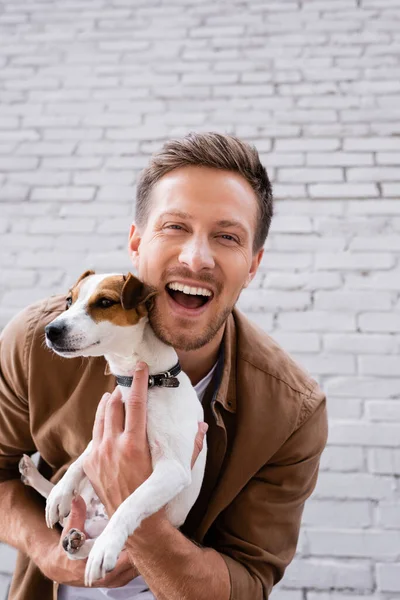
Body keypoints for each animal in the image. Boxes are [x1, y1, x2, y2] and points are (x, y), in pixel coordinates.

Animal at [18, 274, 206, 584]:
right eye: (69, 300)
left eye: (105, 302)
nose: (51, 330)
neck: (147, 380)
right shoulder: (100, 440)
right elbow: (78, 463)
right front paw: (60, 493)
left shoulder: (173, 468)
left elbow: (131, 502)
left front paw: (106, 546)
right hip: (87, 493)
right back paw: (41, 484)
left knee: (86, 543)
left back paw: (87, 545)